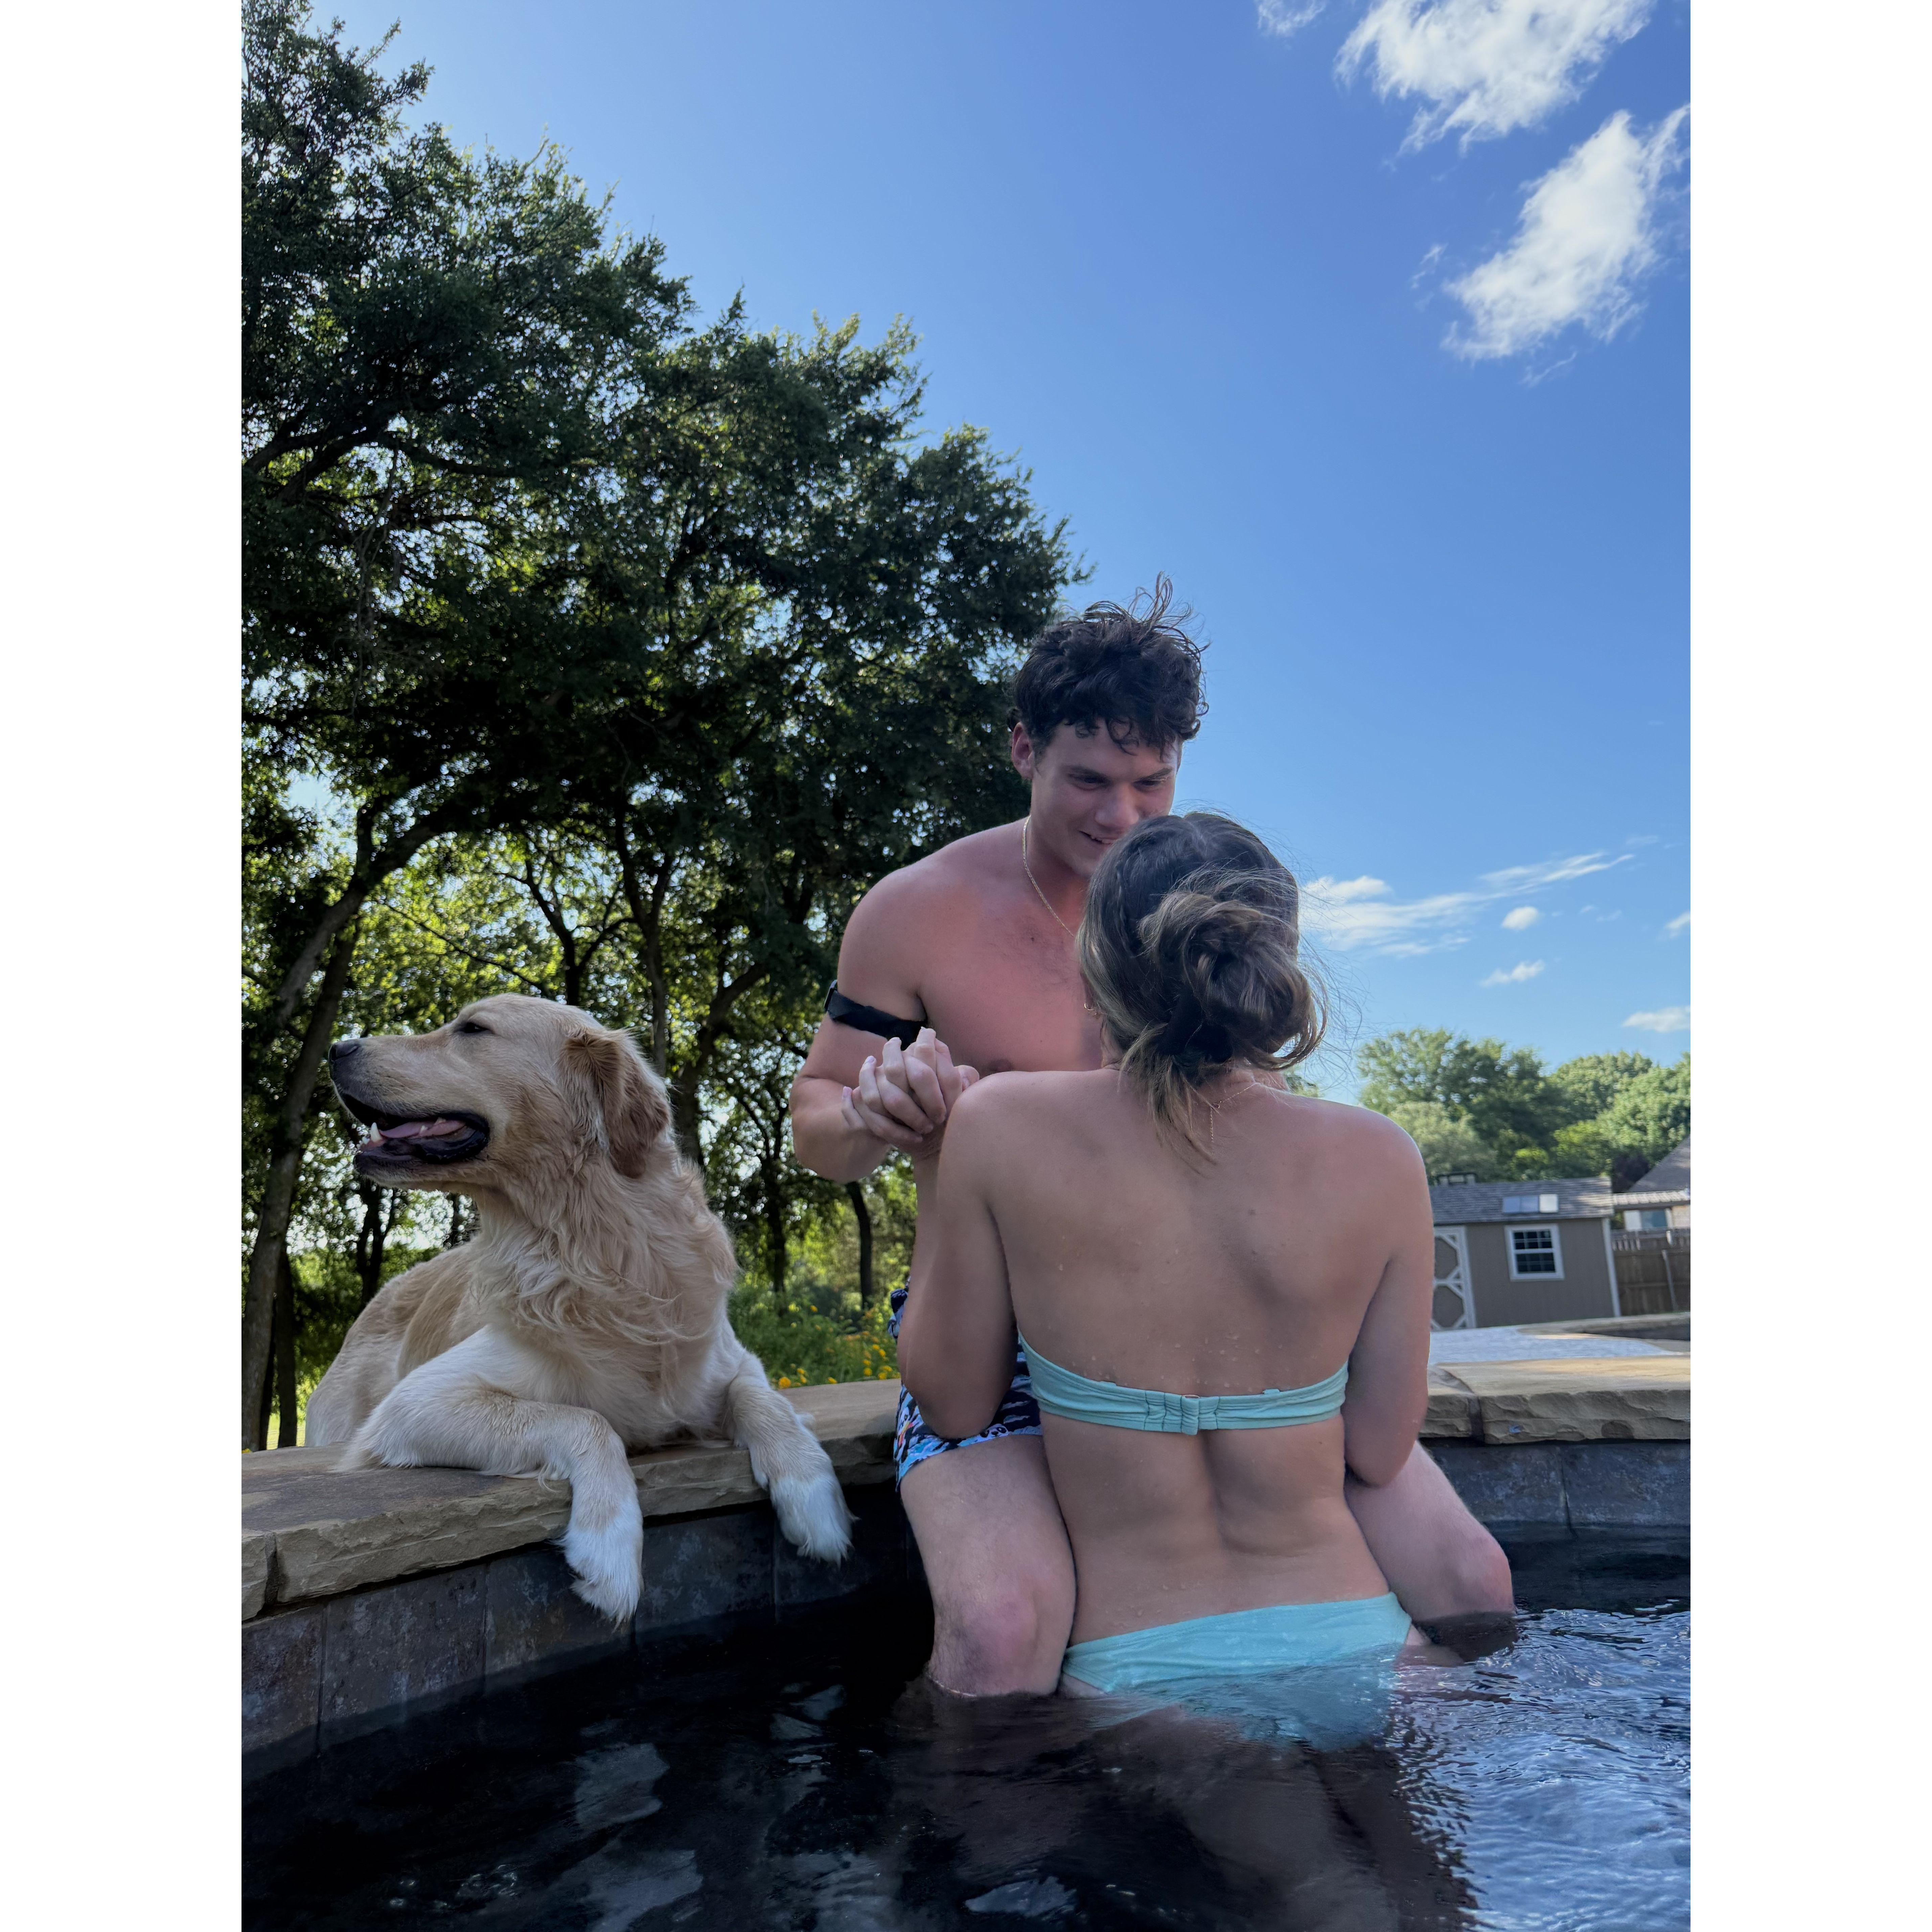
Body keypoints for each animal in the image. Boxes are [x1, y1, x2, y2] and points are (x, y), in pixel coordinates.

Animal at [306, 993, 852, 1620]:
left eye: (473, 1029)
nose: (337, 1047)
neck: (595, 1247)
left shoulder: (730, 1360)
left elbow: (764, 1400)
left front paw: (815, 1496)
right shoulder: (414, 1404)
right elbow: (586, 1420)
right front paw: (609, 1546)